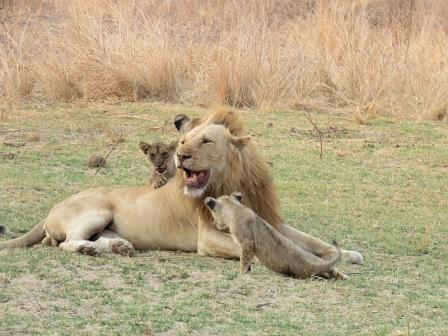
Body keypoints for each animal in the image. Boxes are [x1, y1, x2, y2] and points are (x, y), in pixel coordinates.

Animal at [205, 193, 342, 280]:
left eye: (212, 213)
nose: (214, 223)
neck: (236, 208)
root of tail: (316, 264)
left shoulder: (247, 242)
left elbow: (244, 260)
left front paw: (241, 272)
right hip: (324, 265)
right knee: (332, 271)